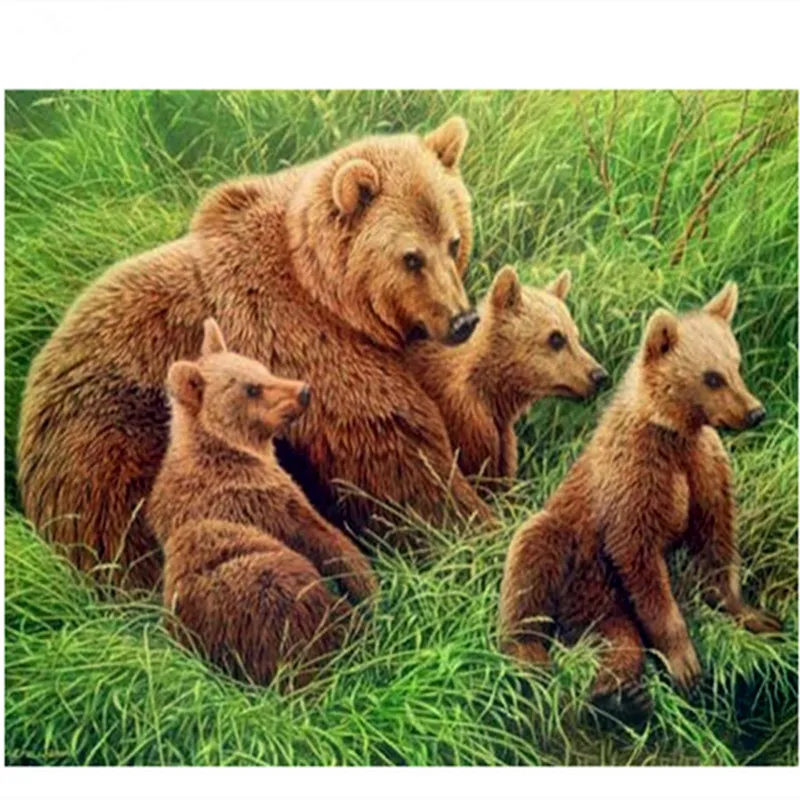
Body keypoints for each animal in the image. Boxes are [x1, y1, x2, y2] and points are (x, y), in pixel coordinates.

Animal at [17, 116, 494, 589]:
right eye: (411, 258)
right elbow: (391, 445)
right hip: (113, 449)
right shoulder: (294, 334)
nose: (462, 320)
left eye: (453, 242)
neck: (326, 291)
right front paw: (471, 527)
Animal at [147, 319, 377, 687]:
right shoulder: (262, 496)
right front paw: (370, 589)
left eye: (262, 367)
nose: (303, 391)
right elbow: (324, 537)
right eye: (251, 388)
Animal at [498, 282, 781, 717]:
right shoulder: (635, 480)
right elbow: (640, 558)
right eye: (712, 377)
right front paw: (685, 662)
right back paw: (532, 654)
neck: (675, 433)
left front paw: (756, 616)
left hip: (606, 610)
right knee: (531, 560)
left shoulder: (703, 466)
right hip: (572, 557)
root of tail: (579, 622)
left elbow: (717, 538)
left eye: (737, 364)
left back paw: (619, 694)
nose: (755, 412)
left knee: (619, 643)